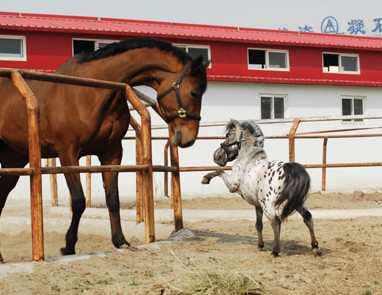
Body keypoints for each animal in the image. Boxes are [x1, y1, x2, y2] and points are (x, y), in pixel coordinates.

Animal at [0, 38, 209, 262]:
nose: (188, 138)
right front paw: (68, 246)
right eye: (194, 92)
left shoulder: (112, 154)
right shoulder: (68, 153)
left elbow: (113, 199)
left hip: (14, 160)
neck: (93, 90)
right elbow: (79, 201)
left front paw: (120, 240)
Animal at [201, 119, 320, 256]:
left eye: (227, 135)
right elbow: (258, 225)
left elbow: (219, 171)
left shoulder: (232, 185)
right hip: (298, 202)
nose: (217, 156)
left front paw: (205, 178)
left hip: (268, 204)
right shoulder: (257, 205)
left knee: (276, 222)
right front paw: (260, 245)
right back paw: (315, 247)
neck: (248, 158)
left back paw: (275, 251)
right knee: (308, 218)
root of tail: (290, 170)